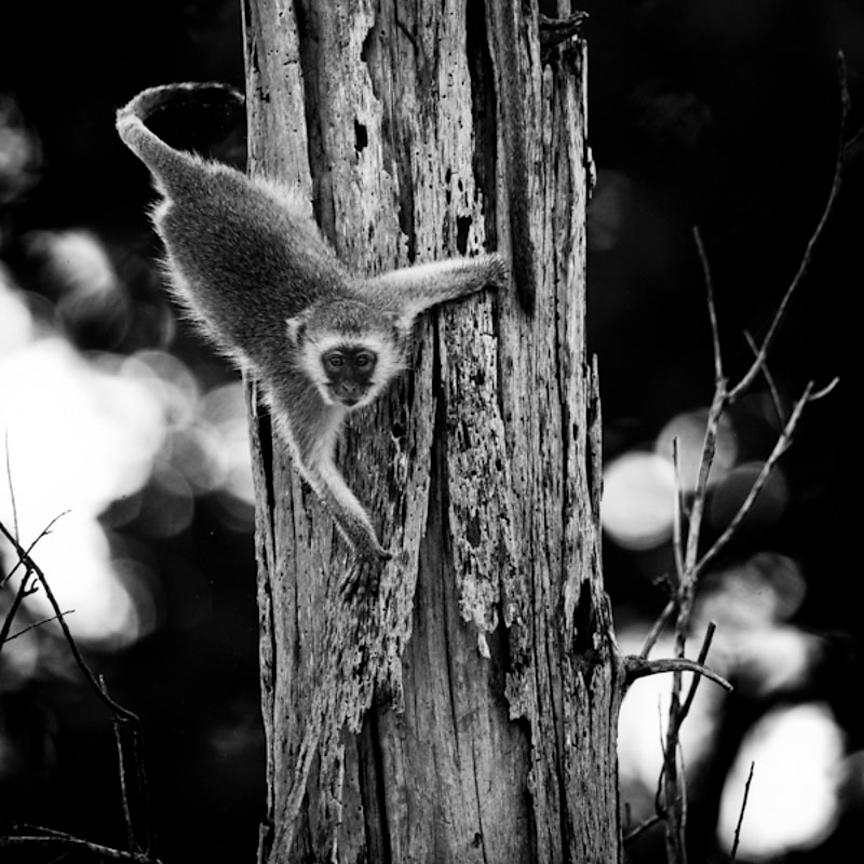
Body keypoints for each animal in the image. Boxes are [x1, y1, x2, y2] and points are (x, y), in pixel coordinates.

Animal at [115, 81, 506, 568]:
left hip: (253, 192)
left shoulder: (382, 301)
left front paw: (489, 269)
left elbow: (422, 281)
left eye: (362, 360)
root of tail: (193, 186)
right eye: (335, 361)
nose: (348, 388)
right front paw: (367, 547)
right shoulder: (298, 390)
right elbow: (314, 464)